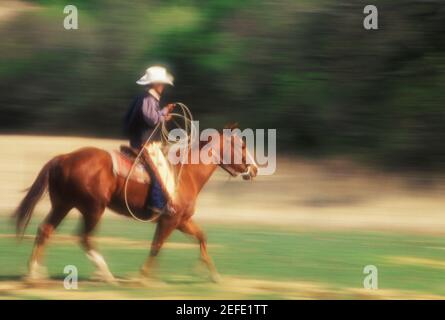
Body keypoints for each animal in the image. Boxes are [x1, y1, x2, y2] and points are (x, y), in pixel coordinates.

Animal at [13, 127, 256, 282]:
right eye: (242, 145)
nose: (254, 169)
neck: (186, 173)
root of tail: (63, 158)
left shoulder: (182, 220)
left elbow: (201, 237)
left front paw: (212, 274)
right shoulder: (170, 220)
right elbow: (156, 246)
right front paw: (143, 276)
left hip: (63, 205)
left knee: (45, 230)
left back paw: (34, 272)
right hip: (93, 209)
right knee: (85, 237)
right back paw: (106, 274)